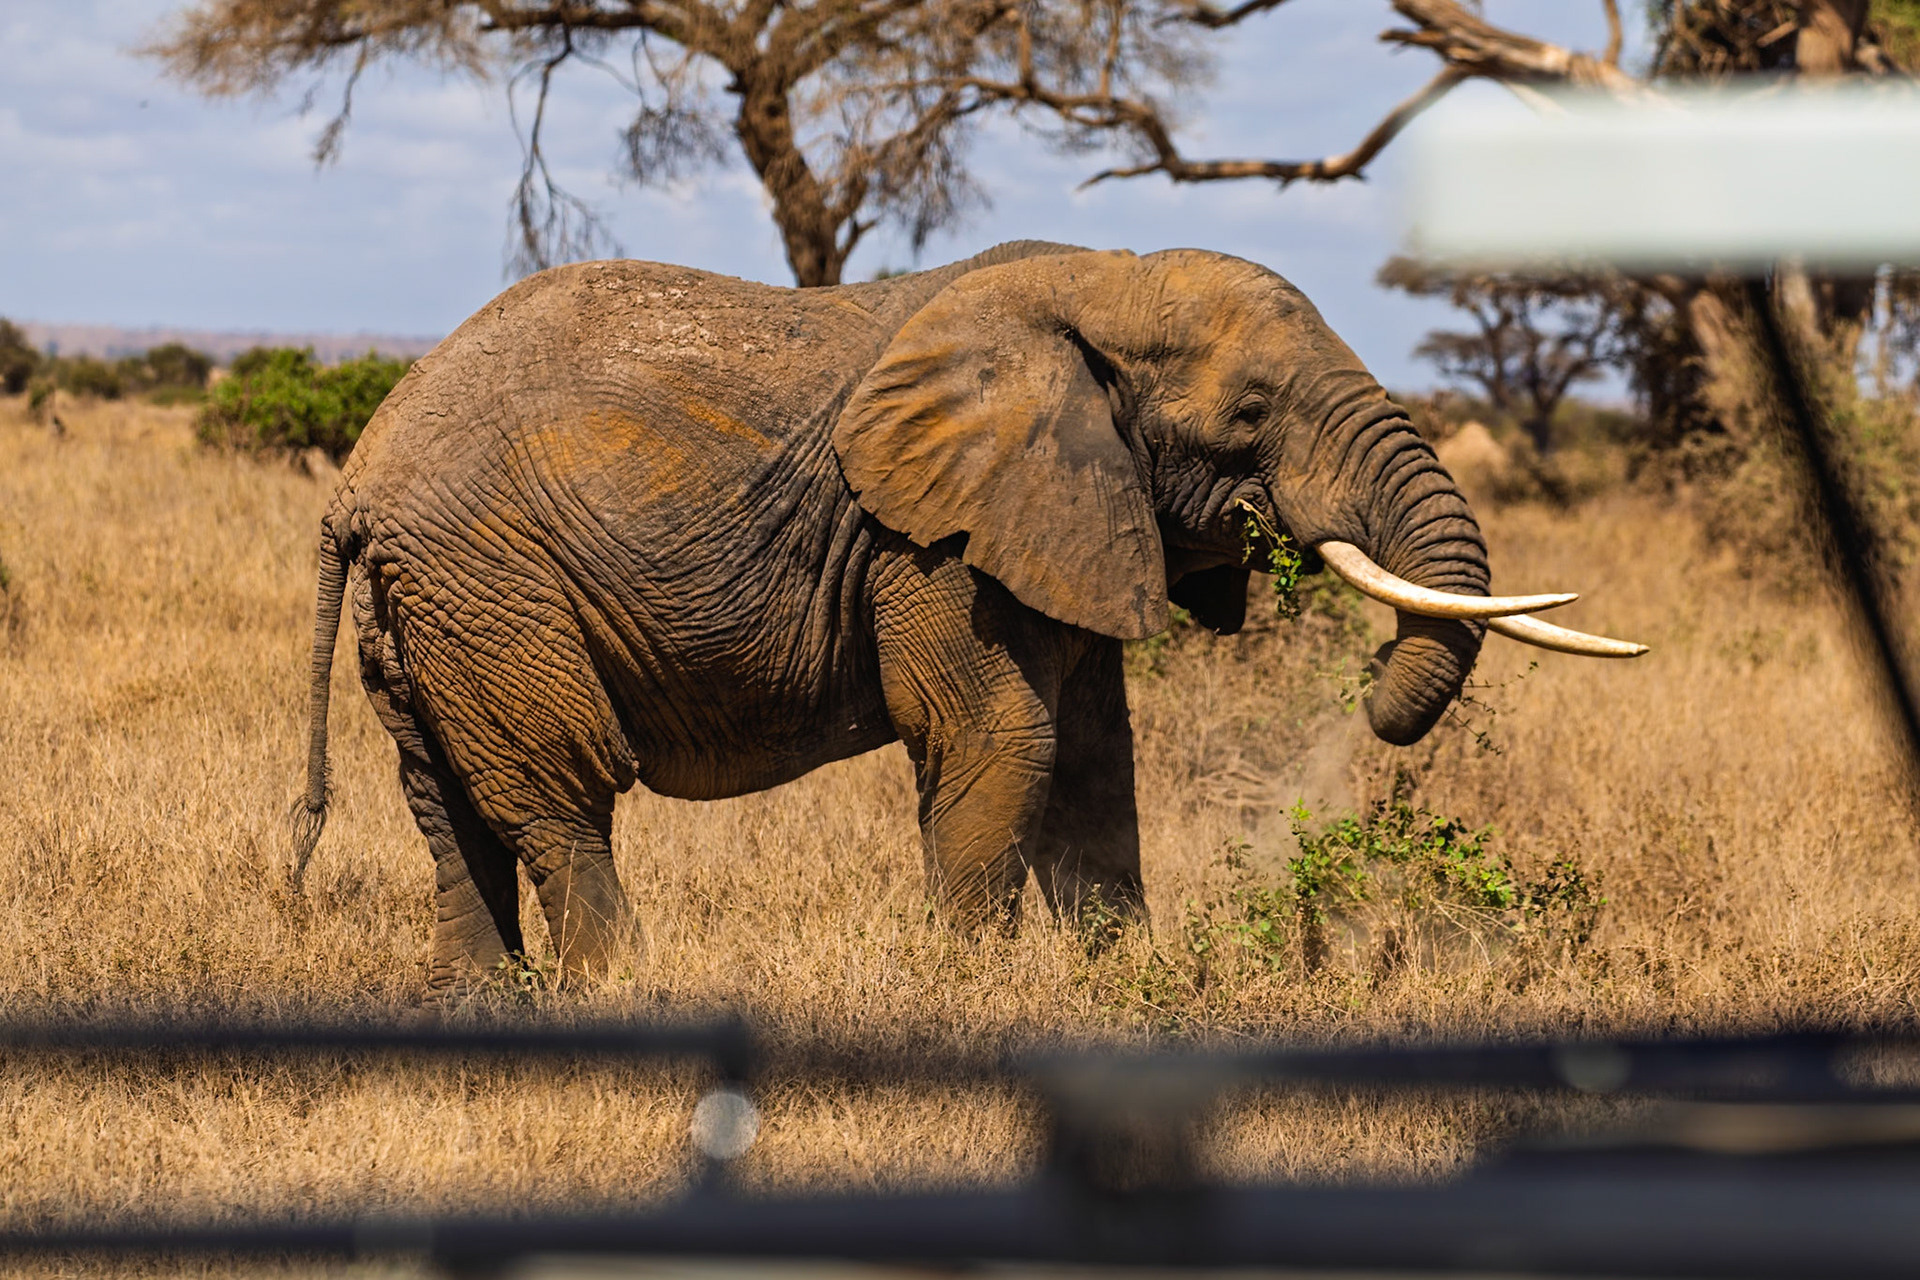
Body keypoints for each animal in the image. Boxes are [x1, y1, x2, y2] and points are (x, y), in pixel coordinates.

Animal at [293, 240, 1643, 991]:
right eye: (1251, 415)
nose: (1366, 701)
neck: (1100, 283)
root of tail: (354, 481)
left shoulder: (1070, 514)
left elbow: (1095, 758)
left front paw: (1126, 982)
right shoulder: (927, 534)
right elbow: (1004, 736)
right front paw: (967, 991)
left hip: (432, 601)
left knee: (442, 796)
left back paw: (485, 1002)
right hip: (492, 578)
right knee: (557, 791)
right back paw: (627, 991)